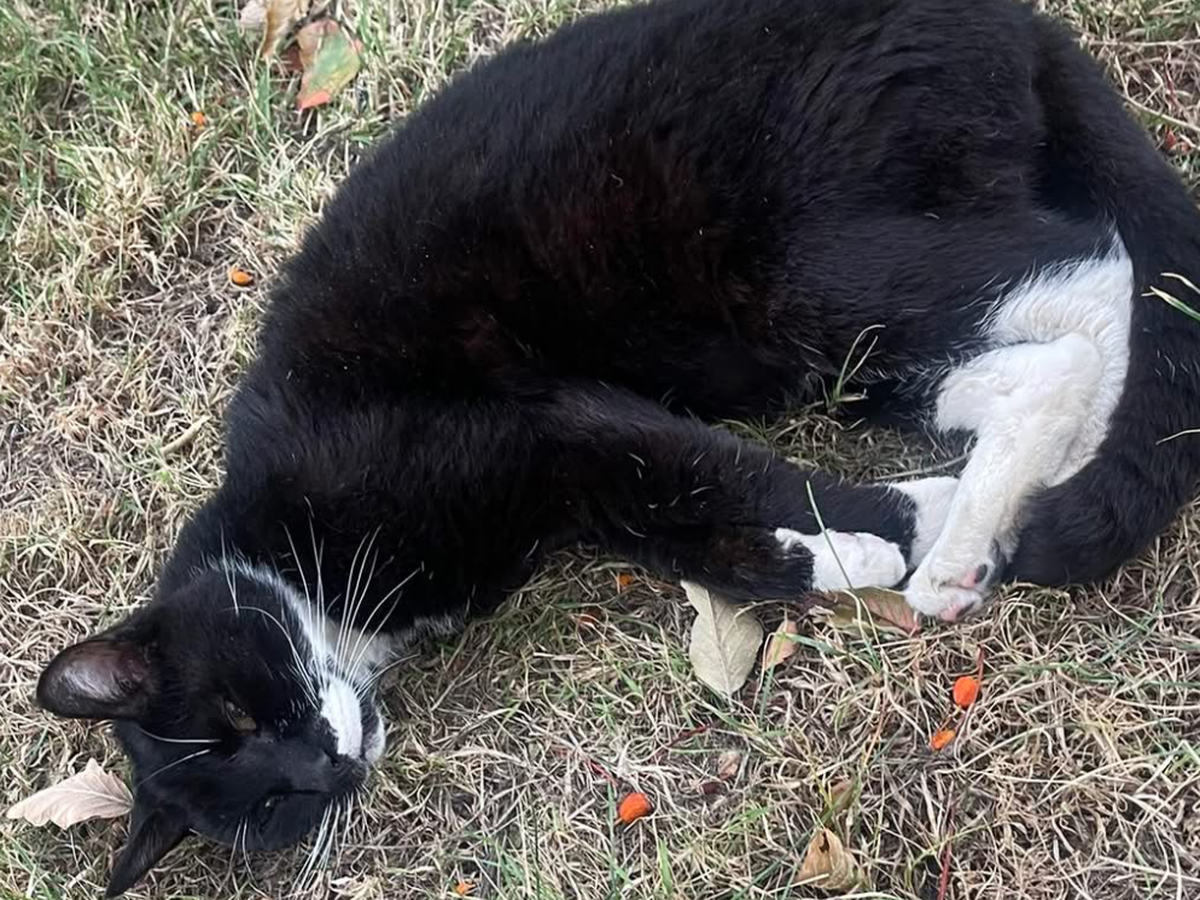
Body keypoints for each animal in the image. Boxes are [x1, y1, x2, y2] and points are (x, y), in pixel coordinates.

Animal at [34, 0, 1200, 894]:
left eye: (244, 712)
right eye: (273, 803)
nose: (330, 766)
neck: (299, 556)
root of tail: (1015, 20)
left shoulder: (536, 424)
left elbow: (711, 471)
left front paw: (896, 528)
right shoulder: (560, 481)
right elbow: (683, 522)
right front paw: (853, 545)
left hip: (809, 267)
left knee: (1088, 281)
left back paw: (970, 538)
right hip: (839, 327)